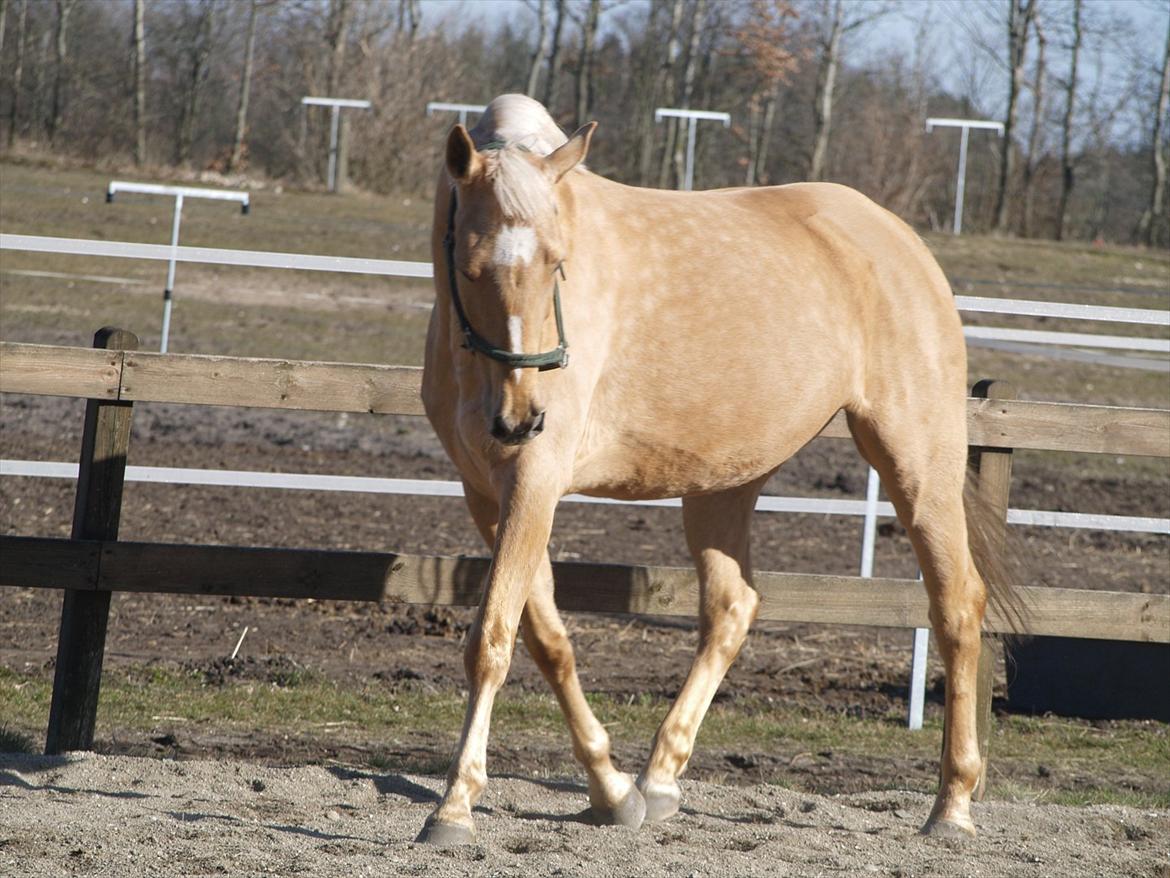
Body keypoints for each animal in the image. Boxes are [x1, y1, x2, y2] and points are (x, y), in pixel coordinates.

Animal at [421, 94, 996, 847]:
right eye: (470, 264)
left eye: (558, 263)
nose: (522, 418)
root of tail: (901, 241)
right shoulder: (488, 493)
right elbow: (546, 640)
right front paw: (611, 792)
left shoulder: (534, 484)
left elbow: (492, 639)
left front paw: (453, 806)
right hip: (724, 484)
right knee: (732, 607)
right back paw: (658, 780)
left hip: (915, 460)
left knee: (957, 605)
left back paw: (953, 804)